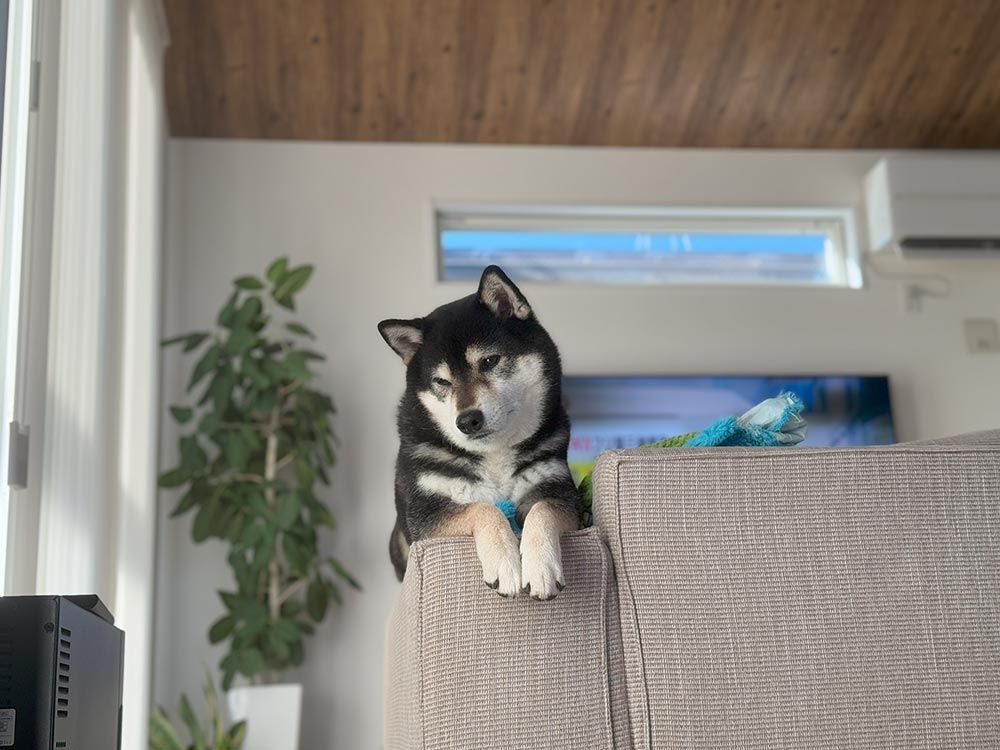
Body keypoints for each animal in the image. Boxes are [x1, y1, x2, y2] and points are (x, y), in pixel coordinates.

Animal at [378, 266, 581, 600]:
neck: (493, 456)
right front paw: (505, 563)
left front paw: (541, 567)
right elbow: (482, 509)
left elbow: (543, 509)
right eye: (441, 381)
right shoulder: (425, 517)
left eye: (489, 361)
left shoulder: (561, 494)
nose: (467, 420)